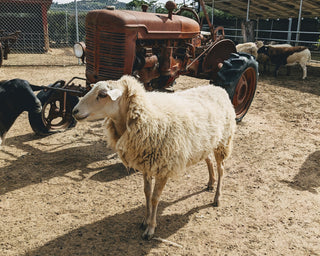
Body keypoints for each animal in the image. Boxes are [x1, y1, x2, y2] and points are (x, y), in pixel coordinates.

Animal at [73, 75, 238, 240]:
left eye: (102, 95)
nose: (74, 111)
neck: (146, 115)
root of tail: (218, 88)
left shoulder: (163, 167)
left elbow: (154, 198)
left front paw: (151, 228)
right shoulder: (146, 164)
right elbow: (146, 193)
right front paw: (145, 220)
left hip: (223, 141)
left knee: (221, 169)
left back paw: (217, 198)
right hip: (205, 144)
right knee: (208, 159)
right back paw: (210, 182)